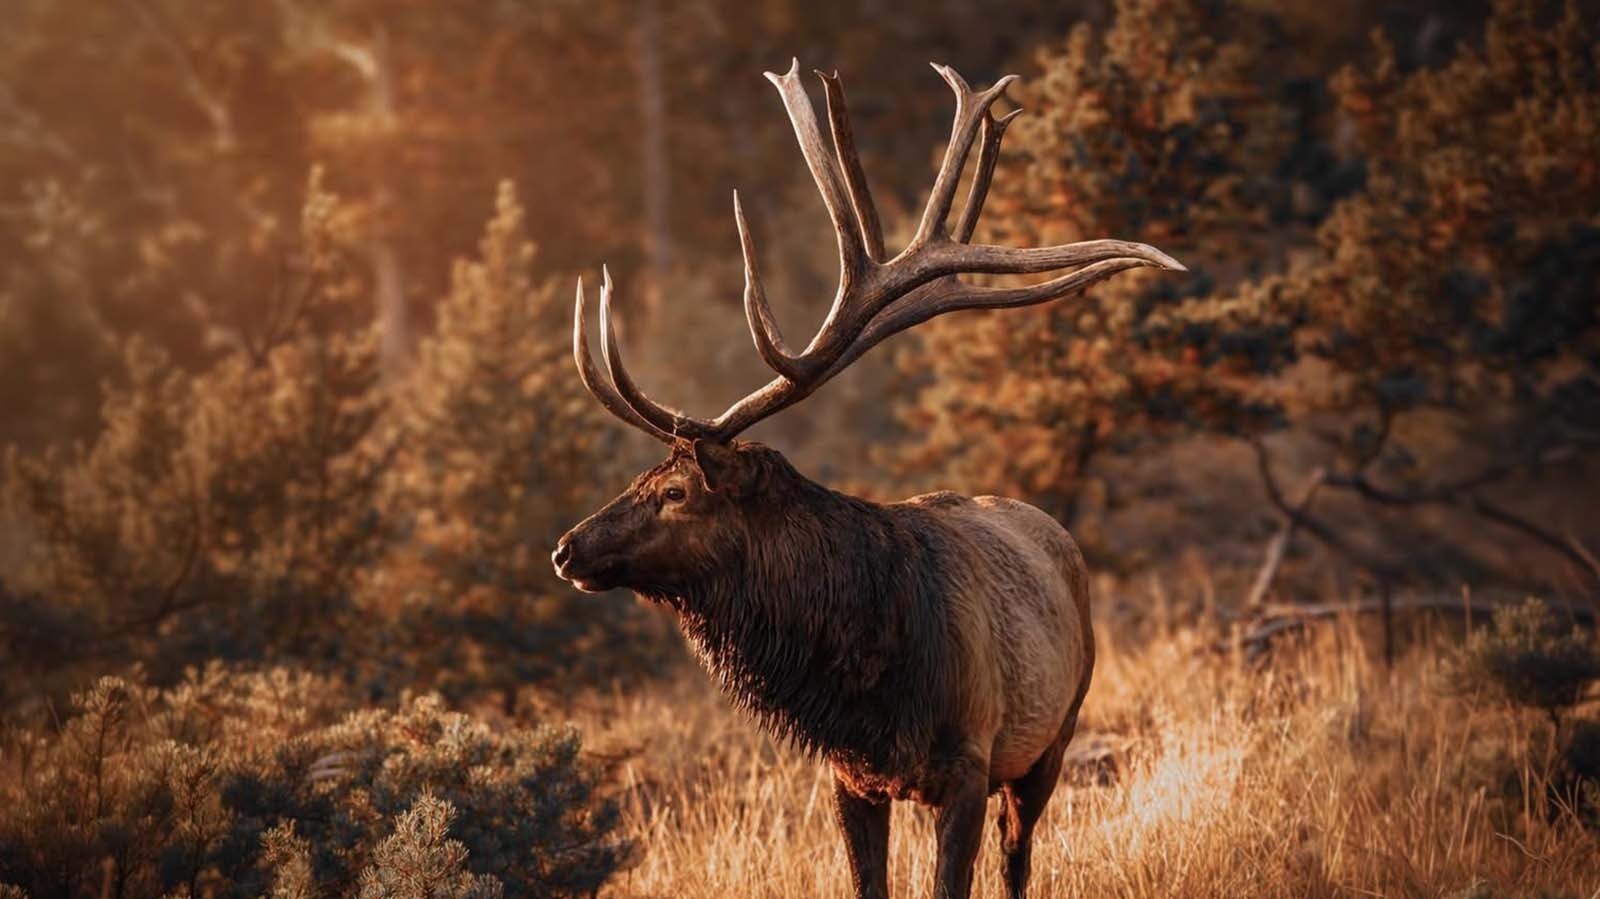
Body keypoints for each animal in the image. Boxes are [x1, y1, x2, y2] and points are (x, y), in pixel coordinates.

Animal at [551, 61, 1183, 899]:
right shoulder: (851, 776)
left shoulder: (968, 766)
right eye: (643, 474)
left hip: (1054, 734)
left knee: (1019, 858)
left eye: (676, 492)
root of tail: (1056, 530)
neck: (866, 678)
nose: (566, 547)